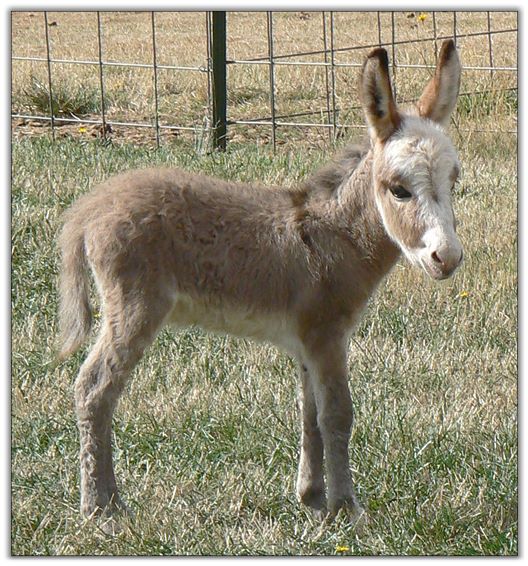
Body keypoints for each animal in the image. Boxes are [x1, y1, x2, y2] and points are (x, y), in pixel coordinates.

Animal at [58, 40, 463, 531]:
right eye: (399, 190)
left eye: (454, 180)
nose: (448, 258)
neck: (337, 235)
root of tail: (92, 205)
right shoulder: (328, 335)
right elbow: (338, 415)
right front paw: (347, 509)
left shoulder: (307, 342)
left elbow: (310, 415)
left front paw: (312, 498)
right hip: (135, 306)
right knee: (94, 388)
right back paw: (101, 507)